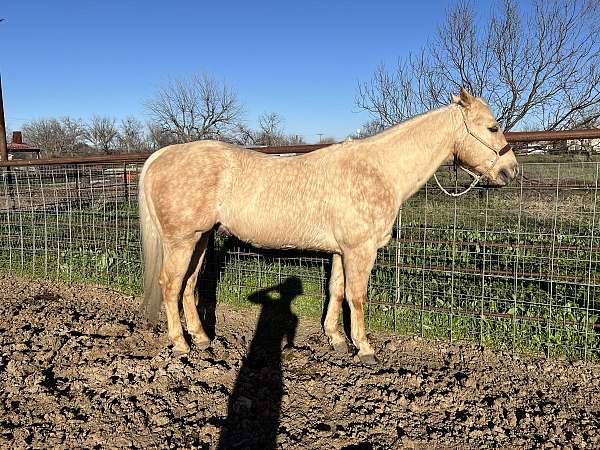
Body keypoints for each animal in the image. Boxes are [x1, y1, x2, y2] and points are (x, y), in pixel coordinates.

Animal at [138, 89, 516, 366]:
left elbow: (336, 291)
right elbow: (357, 296)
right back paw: (181, 344)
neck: (379, 170)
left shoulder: (340, 251)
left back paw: (202, 339)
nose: (509, 170)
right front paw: (364, 348)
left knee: (188, 284)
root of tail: (162, 155)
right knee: (171, 285)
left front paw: (336, 340)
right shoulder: (360, 250)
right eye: (492, 127)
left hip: (200, 238)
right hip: (181, 240)